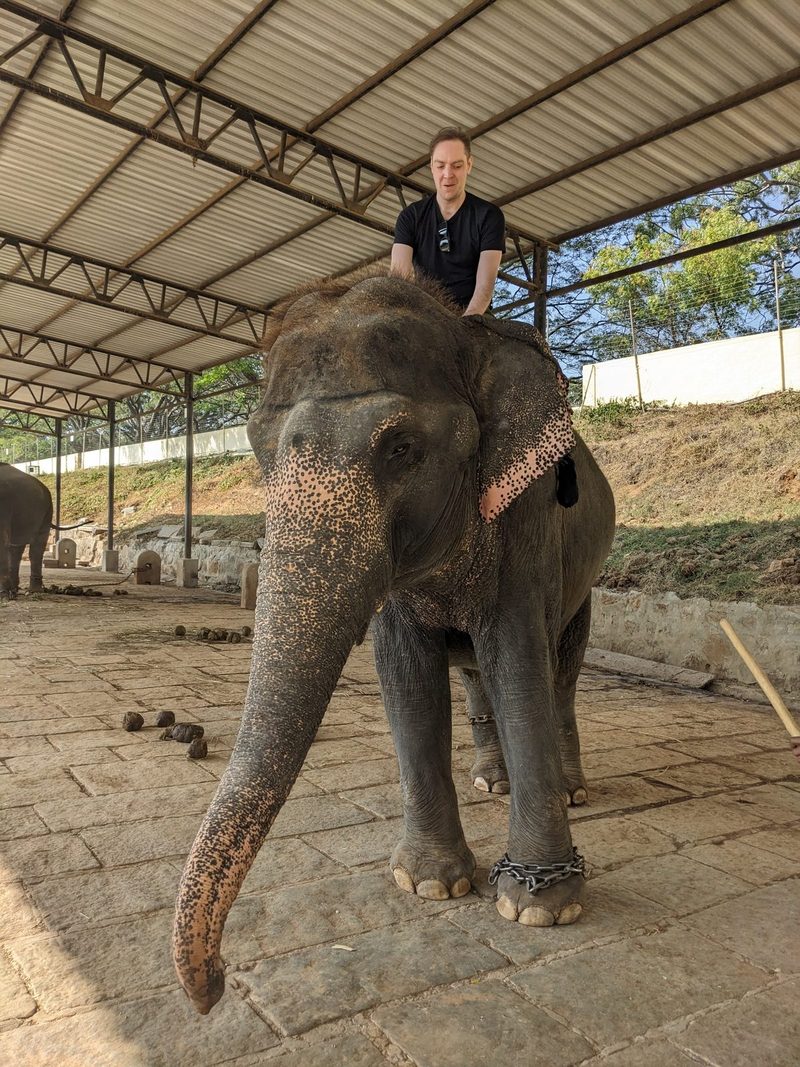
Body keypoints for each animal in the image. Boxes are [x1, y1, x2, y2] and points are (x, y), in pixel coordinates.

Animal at [173, 269, 616, 1014]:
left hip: (589, 567)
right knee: (473, 674)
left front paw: (538, 905)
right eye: (259, 449)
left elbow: (518, 657)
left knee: (562, 666)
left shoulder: (525, 515)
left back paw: (573, 788)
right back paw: (490, 780)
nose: (215, 989)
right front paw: (431, 883)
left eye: (401, 447)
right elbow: (405, 674)